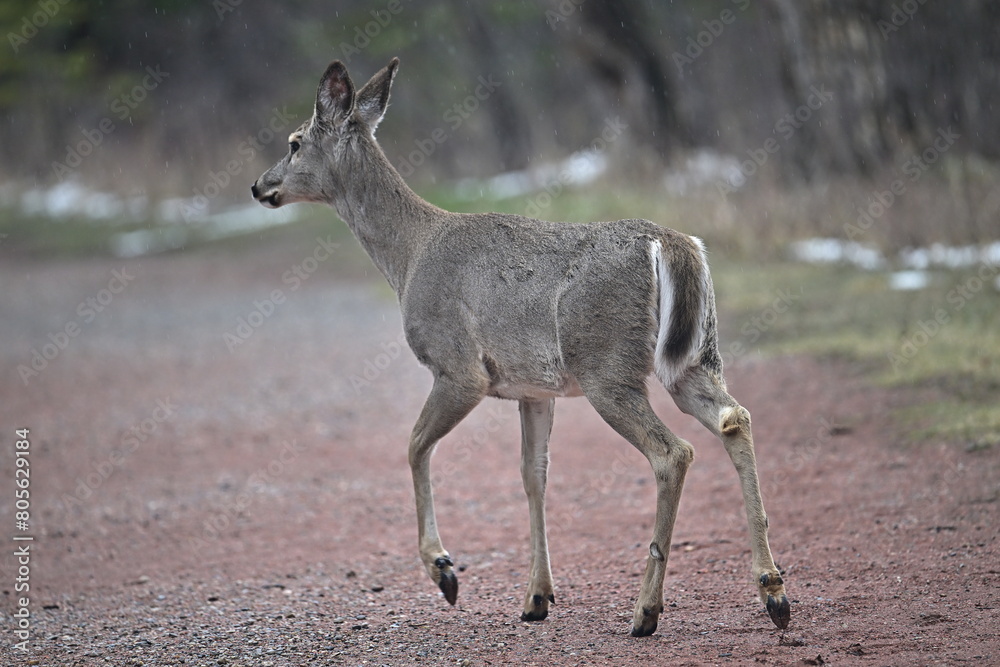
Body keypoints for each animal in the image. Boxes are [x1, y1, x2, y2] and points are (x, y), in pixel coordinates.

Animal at [251, 57, 790, 637]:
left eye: (294, 142)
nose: (259, 186)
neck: (409, 255)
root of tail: (672, 244)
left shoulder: (459, 367)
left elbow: (415, 445)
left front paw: (444, 570)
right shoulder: (535, 388)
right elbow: (534, 476)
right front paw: (536, 596)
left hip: (607, 366)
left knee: (673, 452)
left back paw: (646, 610)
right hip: (694, 358)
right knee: (735, 418)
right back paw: (773, 591)